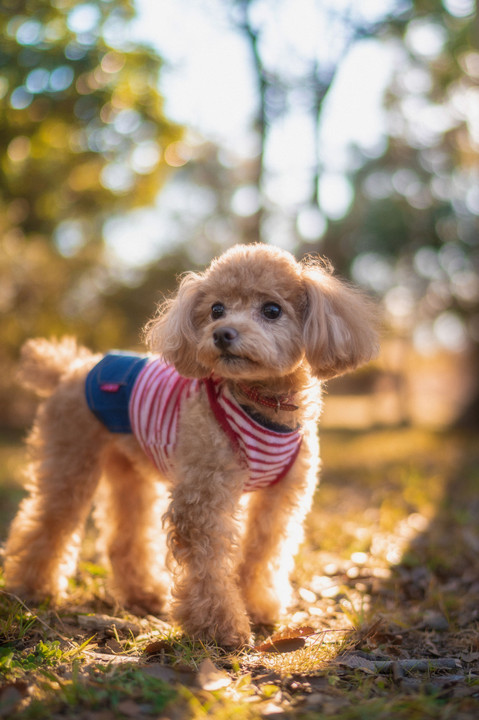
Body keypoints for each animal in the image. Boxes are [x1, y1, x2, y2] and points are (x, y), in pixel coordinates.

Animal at [3, 243, 378, 648]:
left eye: (272, 310)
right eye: (216, 309)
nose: (223, 333)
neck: (262, 402)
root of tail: (71, 368)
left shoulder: (280, 499)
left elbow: (263, 551)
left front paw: (257, 607)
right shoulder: (204, 495)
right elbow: (208, 565)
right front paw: (219, 628)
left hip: (129, 471)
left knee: (125, 535)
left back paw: (142, 595)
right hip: (70, 459)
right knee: (46, 522)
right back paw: (32, 590)